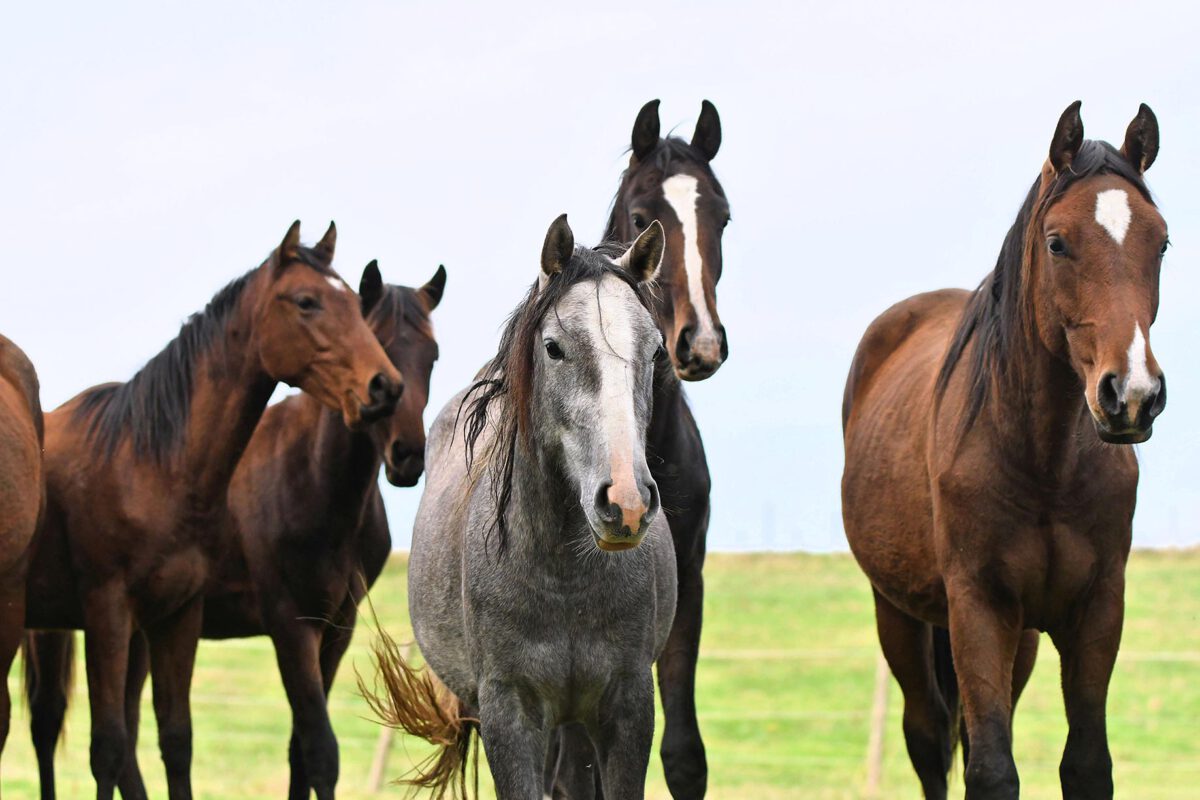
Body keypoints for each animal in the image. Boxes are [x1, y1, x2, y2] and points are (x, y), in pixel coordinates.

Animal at [25, 262, 448, 800]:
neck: (311, 478)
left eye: (431, 356)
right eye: (381, 341)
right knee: (49, 721)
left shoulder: (337, 627)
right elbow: (319, 747)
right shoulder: (289, 623)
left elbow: (300, 751)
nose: (408, 454)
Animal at [369, 214, 676, 800]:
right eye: (554, 348)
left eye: (655, 352)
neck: (564, 577)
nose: (625, 503)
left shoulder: (629, 705)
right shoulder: (508, 712)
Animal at [840, 103, 1166, 796]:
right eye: (1057, 242)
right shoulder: (979, 608)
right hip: (899, 616)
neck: (1044, 464)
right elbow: (990, 769)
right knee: (930, 739)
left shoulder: (1096, 609)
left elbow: (1086, 764)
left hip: (1023, 639)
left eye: (1162, 242)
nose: (1132, 395)